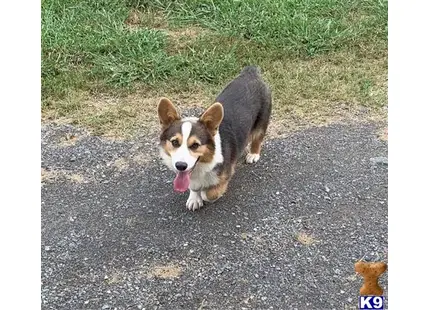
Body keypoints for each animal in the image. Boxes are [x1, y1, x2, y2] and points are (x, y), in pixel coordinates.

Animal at [158, 66, 272, 211]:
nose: (180, 166)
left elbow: (209, 194)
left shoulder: (225, 175)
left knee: (258, 138)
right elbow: (193, 186)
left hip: (262, 120)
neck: (202, 165)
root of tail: (250, 72)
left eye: (195, 145)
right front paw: (194, 198)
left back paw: (253, 154)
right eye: (174, 142)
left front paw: (203, 194)